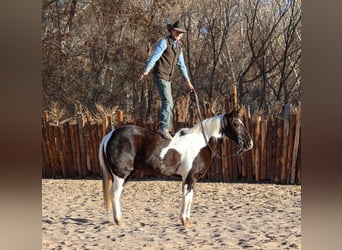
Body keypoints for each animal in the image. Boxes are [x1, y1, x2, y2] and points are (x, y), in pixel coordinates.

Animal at [97, 110, 252, 227]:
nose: (249, 143)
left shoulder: (192, 179)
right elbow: (186, 197)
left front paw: (187, 220)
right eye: (236, 124)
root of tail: (110, 134)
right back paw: (119, 221)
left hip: (125, 175)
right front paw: (184, 220)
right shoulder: (189, 177)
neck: (201, 143)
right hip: (121, 174)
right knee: (114, 194)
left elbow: (190, 198)